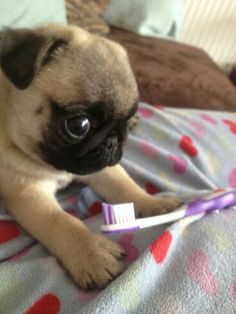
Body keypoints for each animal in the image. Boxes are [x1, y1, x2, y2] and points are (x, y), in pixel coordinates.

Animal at [0, 24, 180, 290]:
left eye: (124, 122)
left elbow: (125, 186)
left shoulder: (103, 168)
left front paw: (151, 203)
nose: (113, 142)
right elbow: (61, 222)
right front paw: (91, 255)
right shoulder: (27, 194)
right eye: (79, 125)